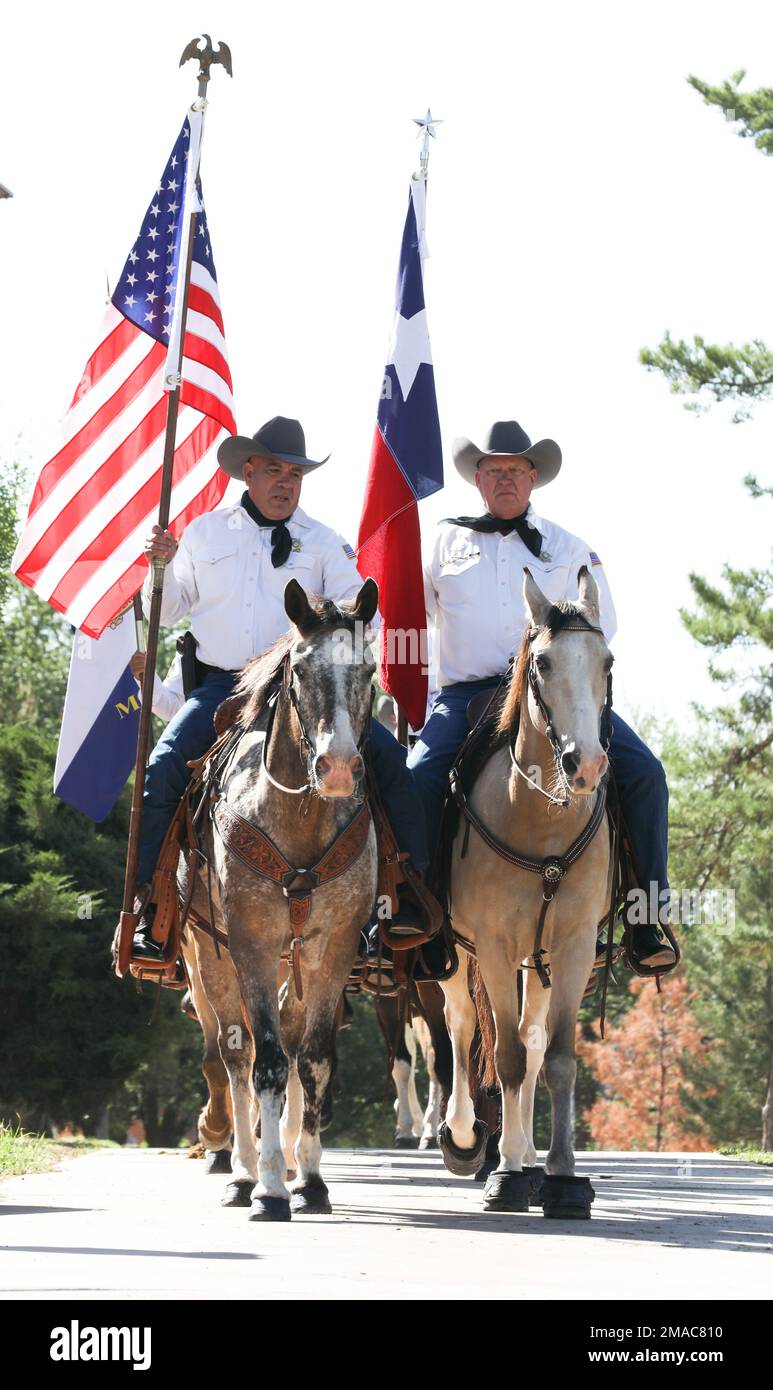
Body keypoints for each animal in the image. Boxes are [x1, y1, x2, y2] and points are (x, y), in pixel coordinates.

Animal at [175, 581, 380, 1223]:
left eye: (369, 669)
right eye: (302, 670)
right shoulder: (252, 944)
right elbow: (264, 1060)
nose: (337, 769)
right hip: (209, 955)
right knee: (236, 1054)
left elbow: (311, 1058)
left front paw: (309, 1178)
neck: (300, 818)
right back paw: (242, 1171)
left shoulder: (331, 949)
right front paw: (267, 1185)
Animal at [436, 564, 611, 1217]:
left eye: (607, 661)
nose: (586, 766)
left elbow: (553, 1059)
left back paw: (532, 1156)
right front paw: (507, 1172)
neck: (541, 824)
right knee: (462, 1024)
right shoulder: (490, 945)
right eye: (544, 664)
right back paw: (468, 1138)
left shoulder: (573, 945)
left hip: (538, 962)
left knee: (533, 1042)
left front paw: (560, 1175)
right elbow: (505, 1056)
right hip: (456, 953)